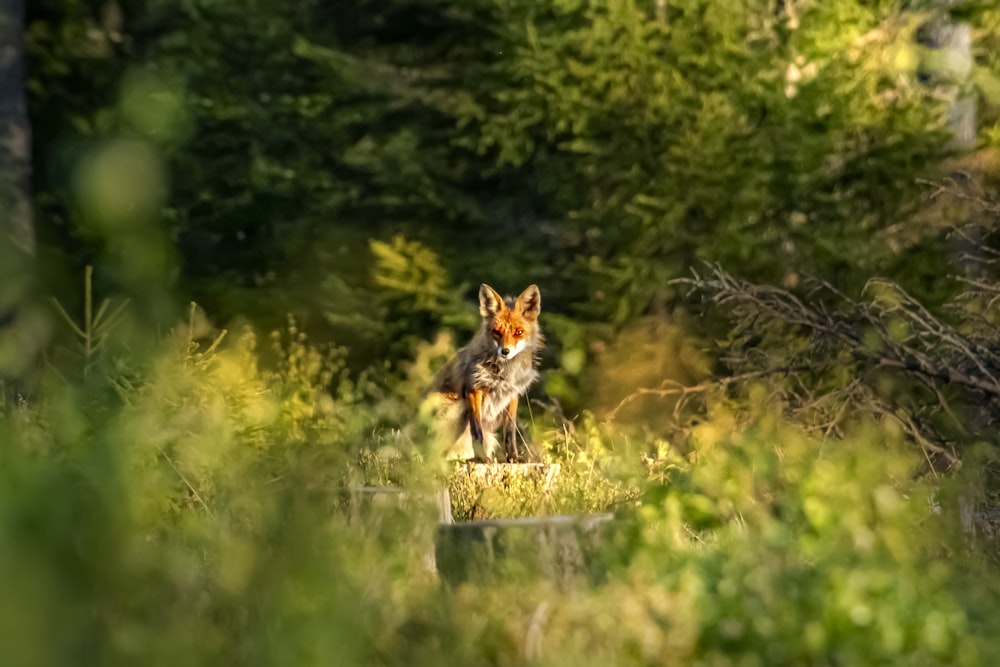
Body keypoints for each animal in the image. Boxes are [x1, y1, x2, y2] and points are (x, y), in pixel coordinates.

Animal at [438, 284, 548, 464]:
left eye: (519, 332)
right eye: (496, 332)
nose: (505, 351)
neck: (505, 373)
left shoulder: (512, 394)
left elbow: (510, 432)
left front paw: (513, 458)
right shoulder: (473, 389)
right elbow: (476, 432)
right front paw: (482, 459)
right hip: (457, 407)